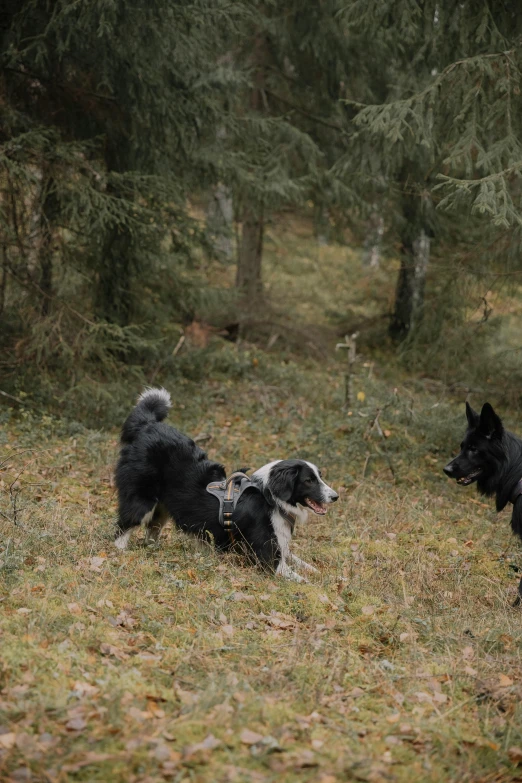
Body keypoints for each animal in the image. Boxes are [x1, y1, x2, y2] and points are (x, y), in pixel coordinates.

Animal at [114, 388, 338, 580]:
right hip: (141, 500)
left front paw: (328, 574)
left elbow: (306, 565)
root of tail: (147, 425)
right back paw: (120, 552)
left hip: (162, 509)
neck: (270, 499)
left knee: (152, 529)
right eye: (309, 481)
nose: (336, 496)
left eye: (320, 476)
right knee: (123, 527)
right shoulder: (268, 559)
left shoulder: (281, 549)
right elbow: (305, 582)